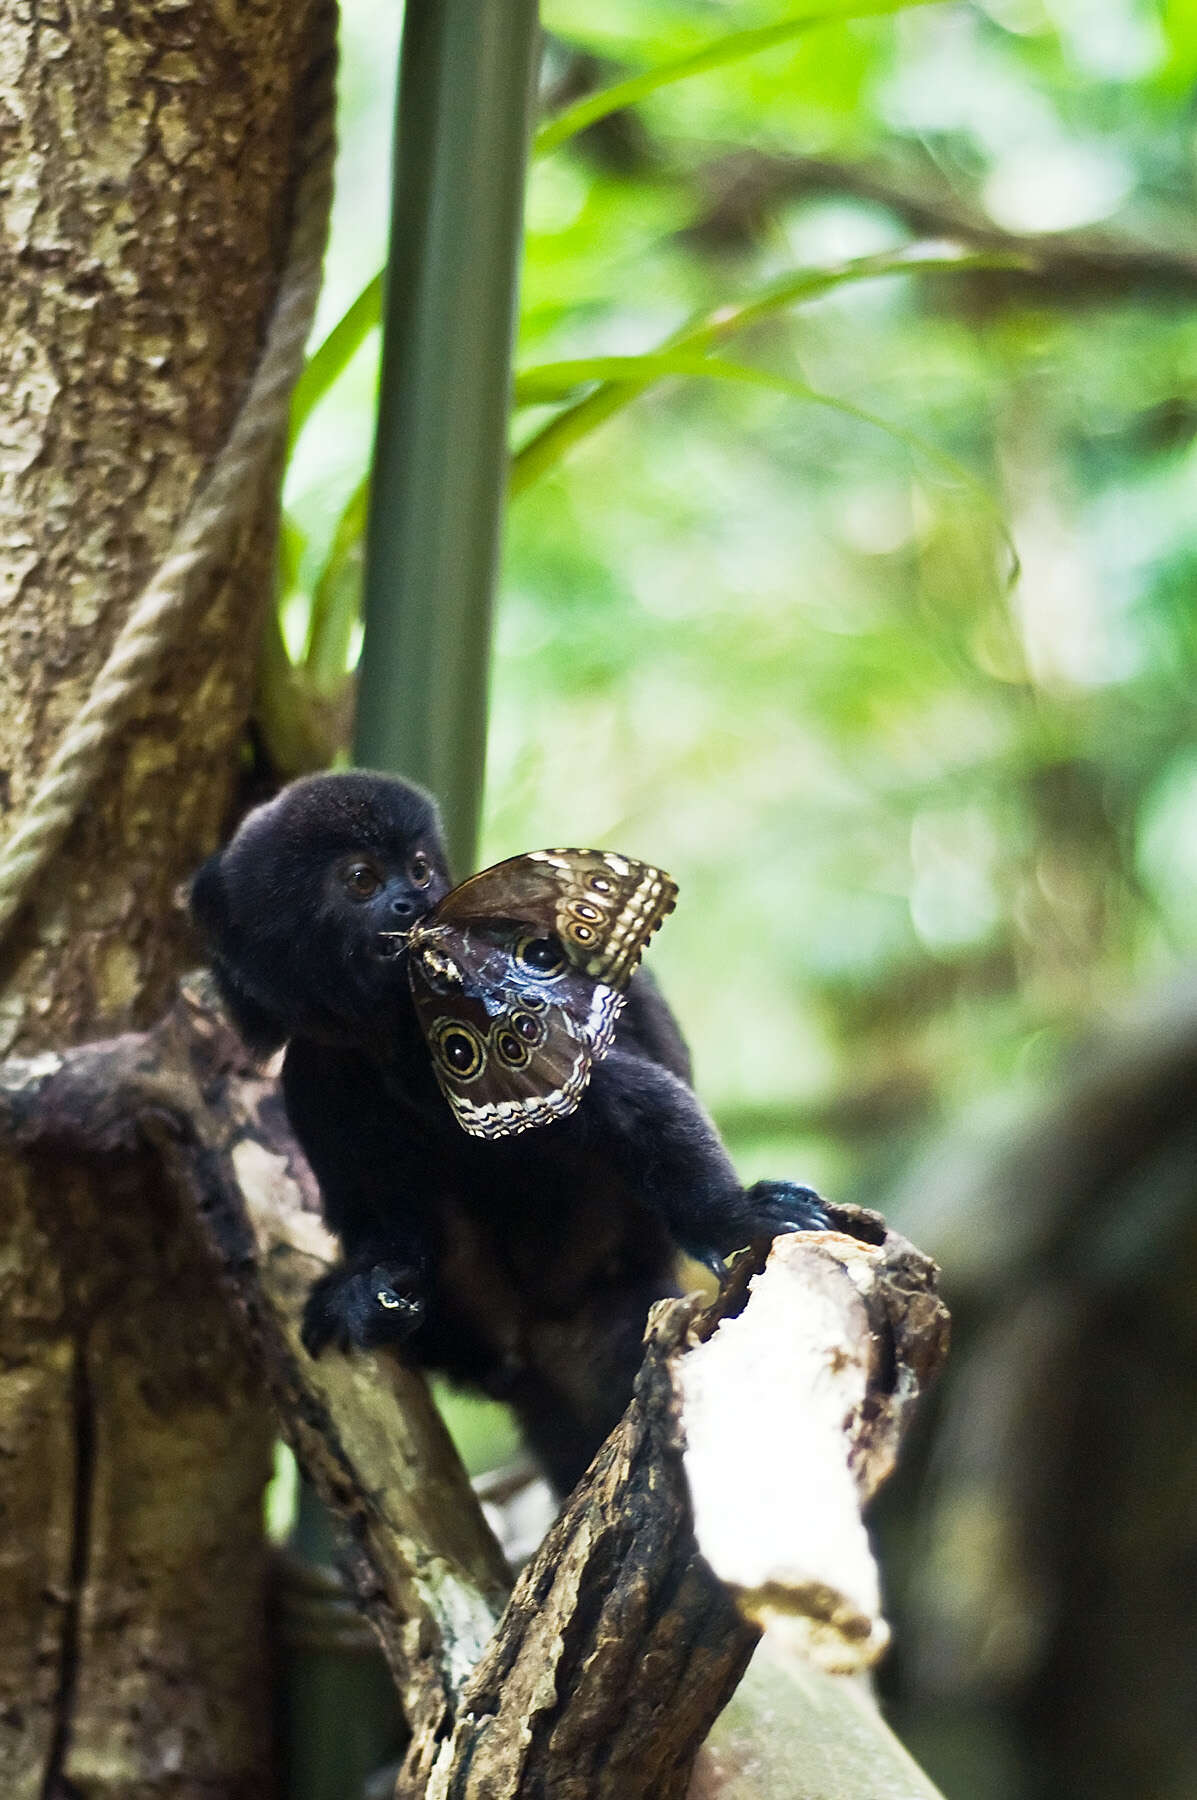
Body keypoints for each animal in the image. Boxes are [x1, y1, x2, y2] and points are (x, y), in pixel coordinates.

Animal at [189, 774, 820, 1490]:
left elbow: (636, 1104)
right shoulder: (317, 1074)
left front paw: (735, 1216)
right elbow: (376, 1218)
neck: (389, 1033)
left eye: (420, 869)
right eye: (361, 879)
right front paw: (372, 1289)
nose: (413, 901)